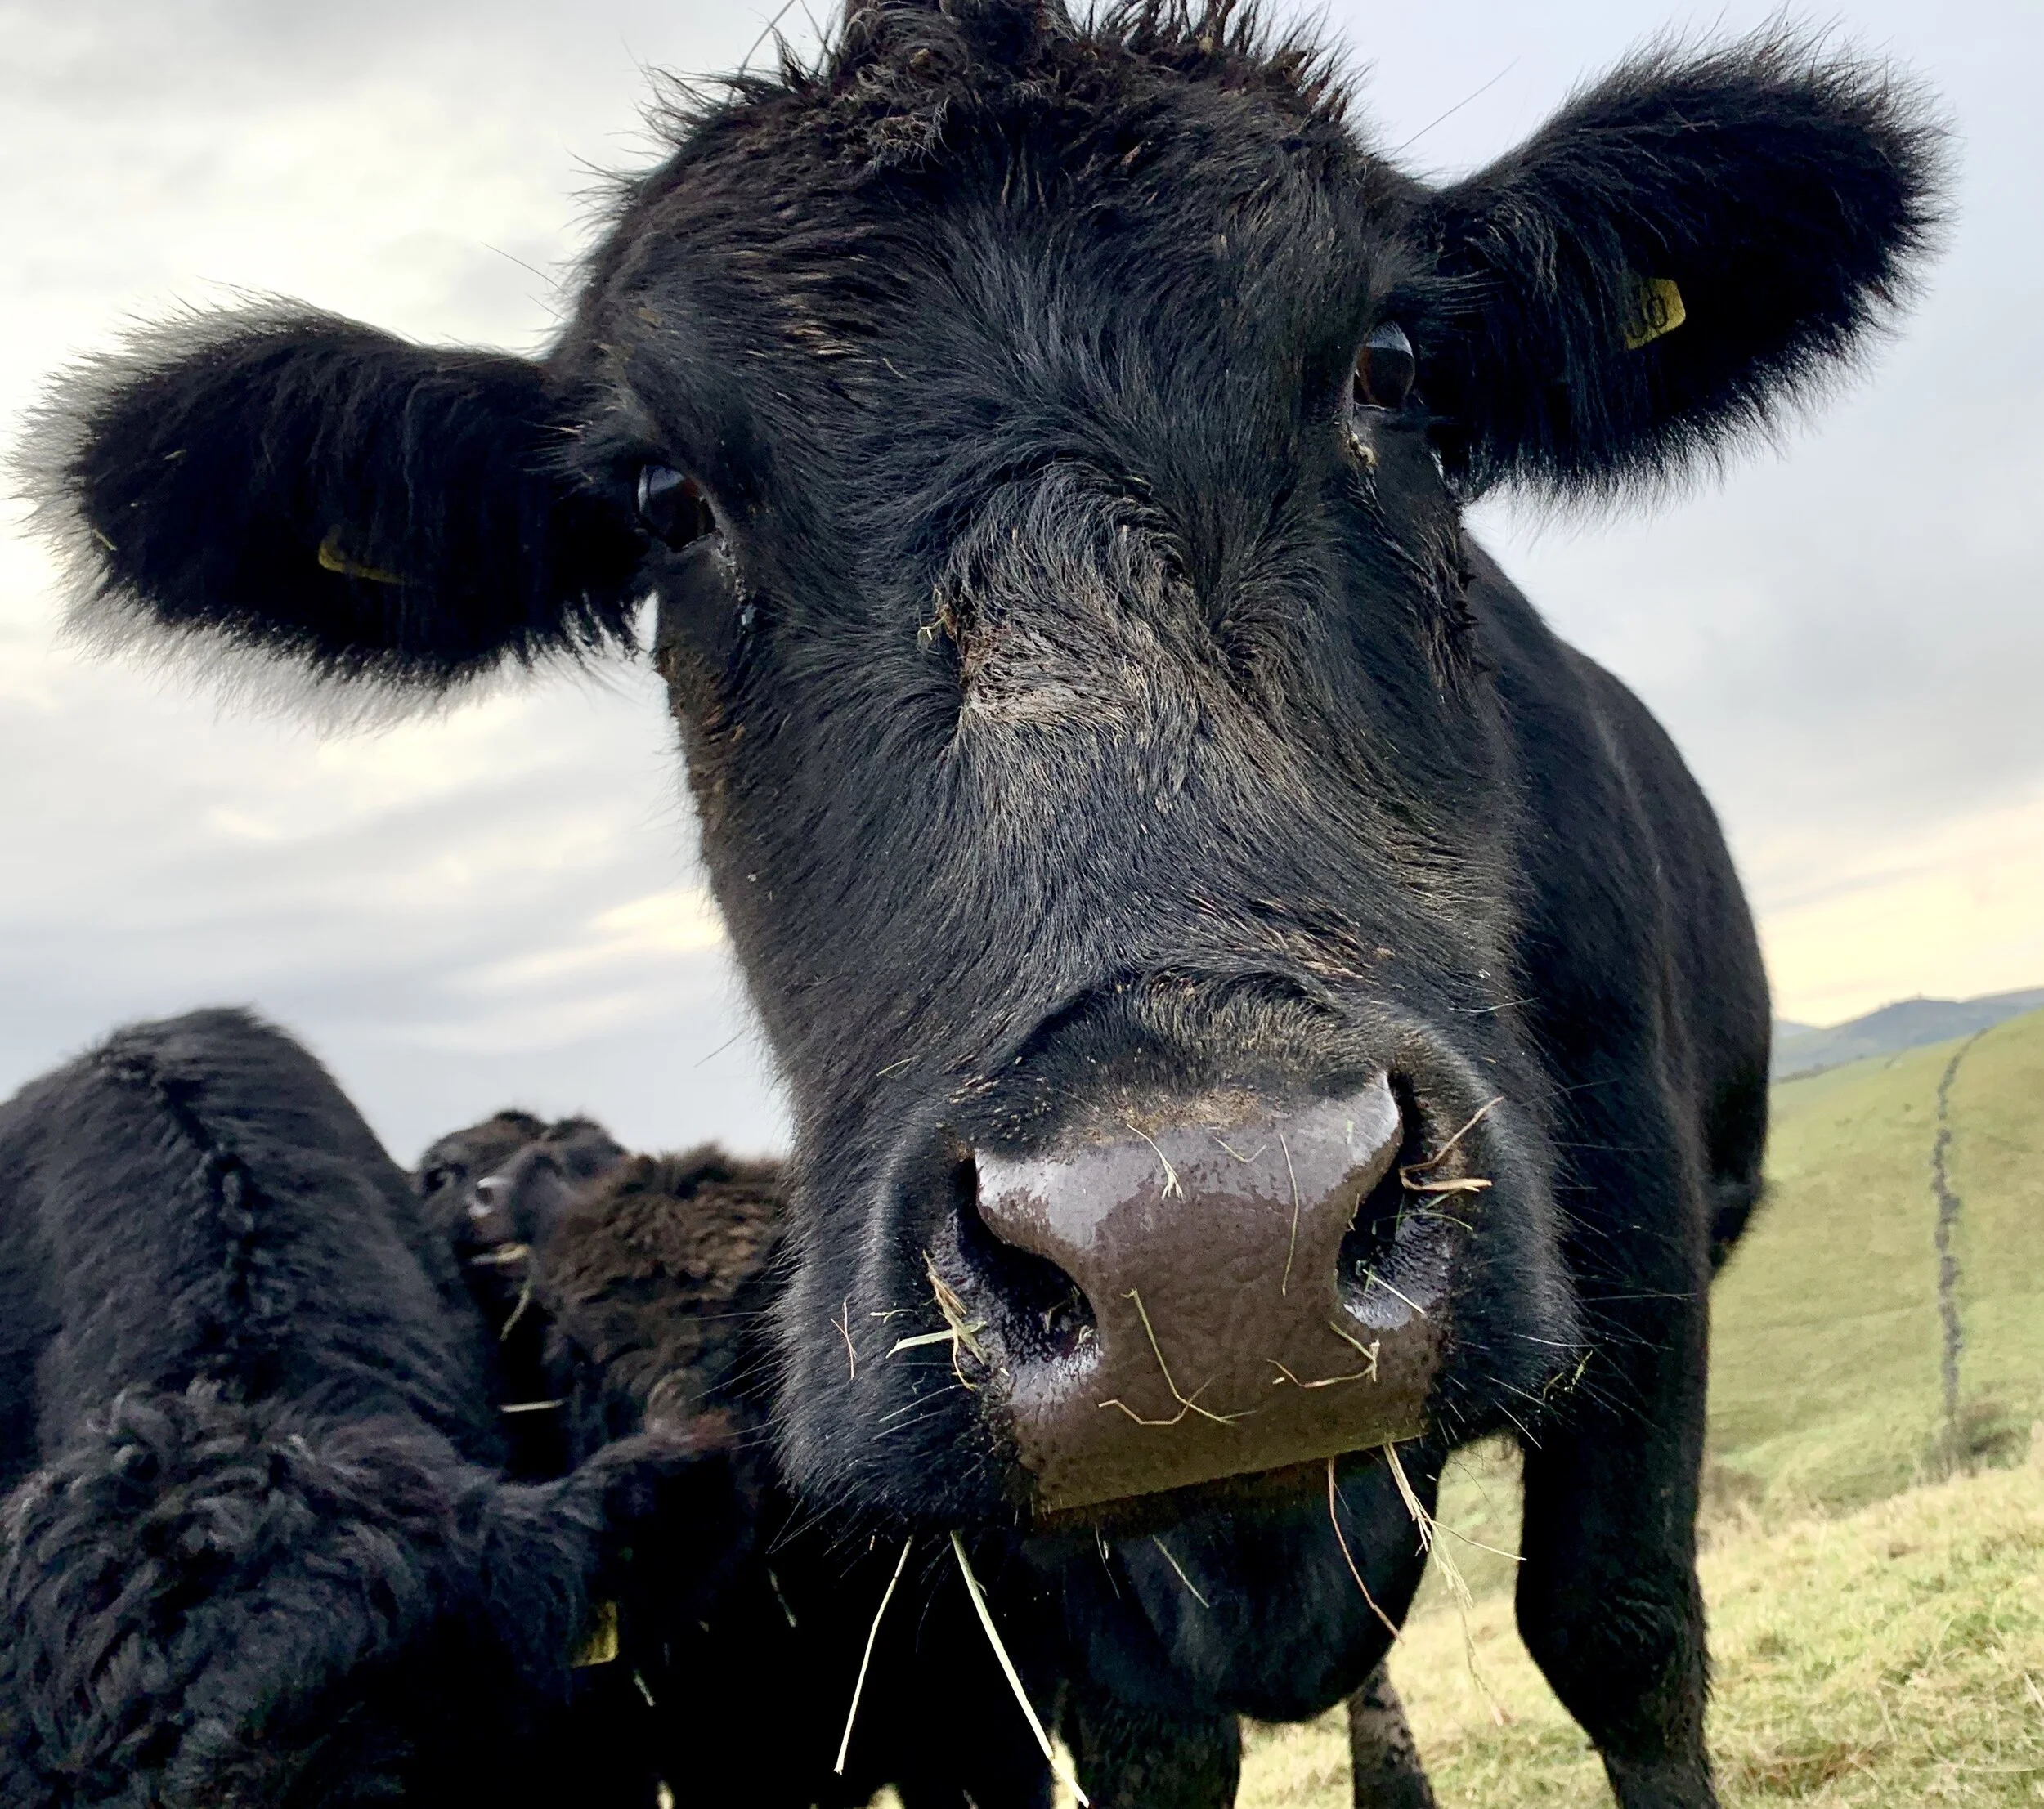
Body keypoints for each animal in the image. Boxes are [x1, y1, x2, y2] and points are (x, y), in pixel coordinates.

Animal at [18, 5, 1944, 1804]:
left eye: (1389, 368)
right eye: (664, 500)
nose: (1205, 1247)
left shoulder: (1641, 1239)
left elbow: (1617, 1634)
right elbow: (1148, 1739)